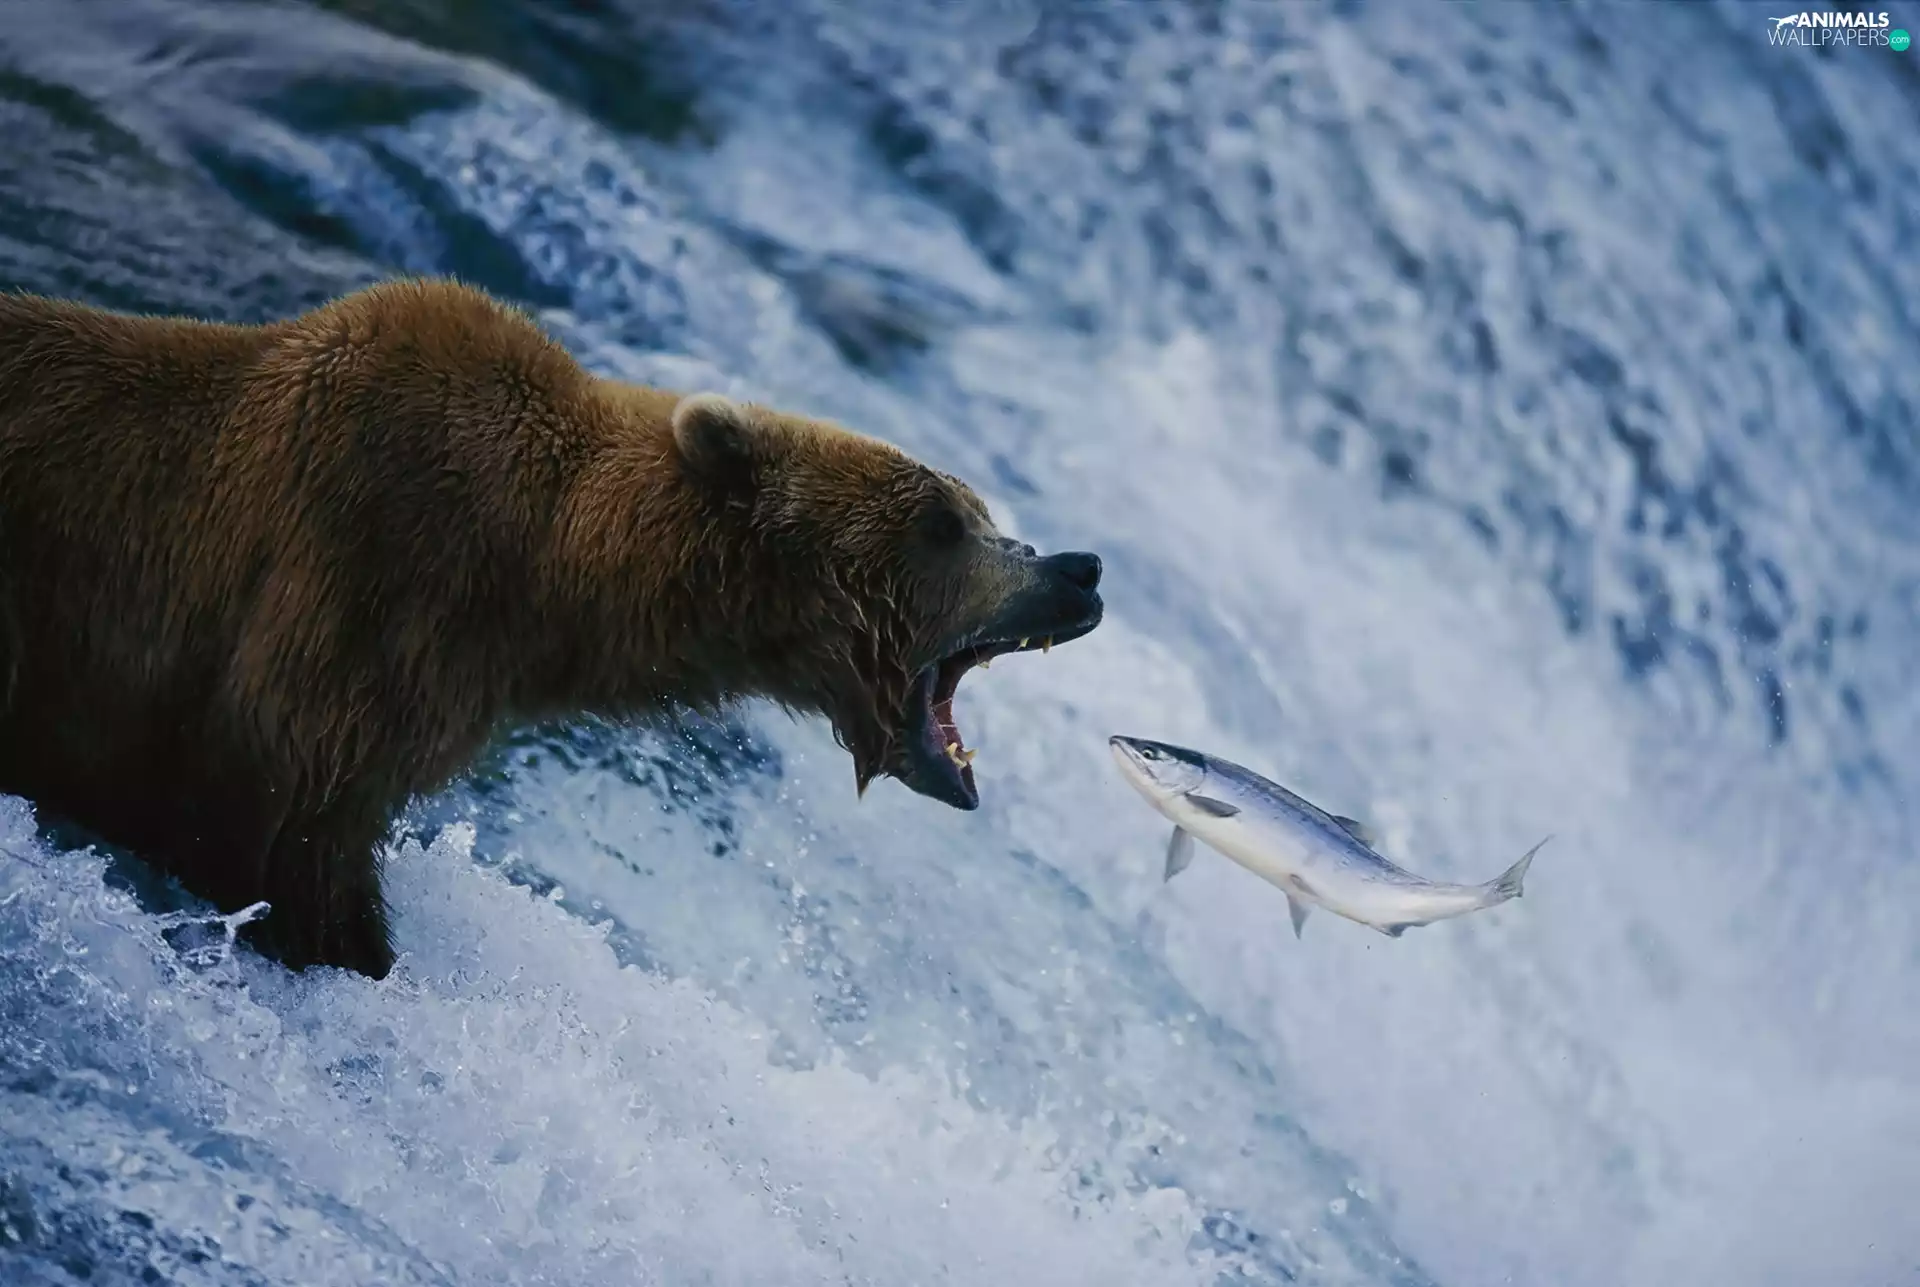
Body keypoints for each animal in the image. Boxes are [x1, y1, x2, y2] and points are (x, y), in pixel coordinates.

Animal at [0, 278, 1104, 979]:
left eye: (979, 512)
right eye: (945, 521)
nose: (1077, 569)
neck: (542, 571)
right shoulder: (346, 599)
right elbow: (285, 831)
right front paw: (353, 951)